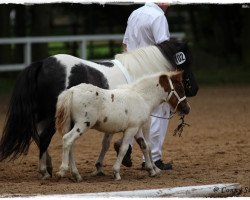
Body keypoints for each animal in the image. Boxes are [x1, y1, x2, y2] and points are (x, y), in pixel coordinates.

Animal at [0, 38, 199, 179]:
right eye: (186, 63)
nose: (195, 89)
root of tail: (41, 63)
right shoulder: (143, 120)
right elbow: (147, 144)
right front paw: (152, 166)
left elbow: (107, 143)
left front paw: (100, 166)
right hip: (52, 116)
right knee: (46, 138)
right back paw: (48, 170)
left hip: (45, 116)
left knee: (41, 137)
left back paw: (51, 167)